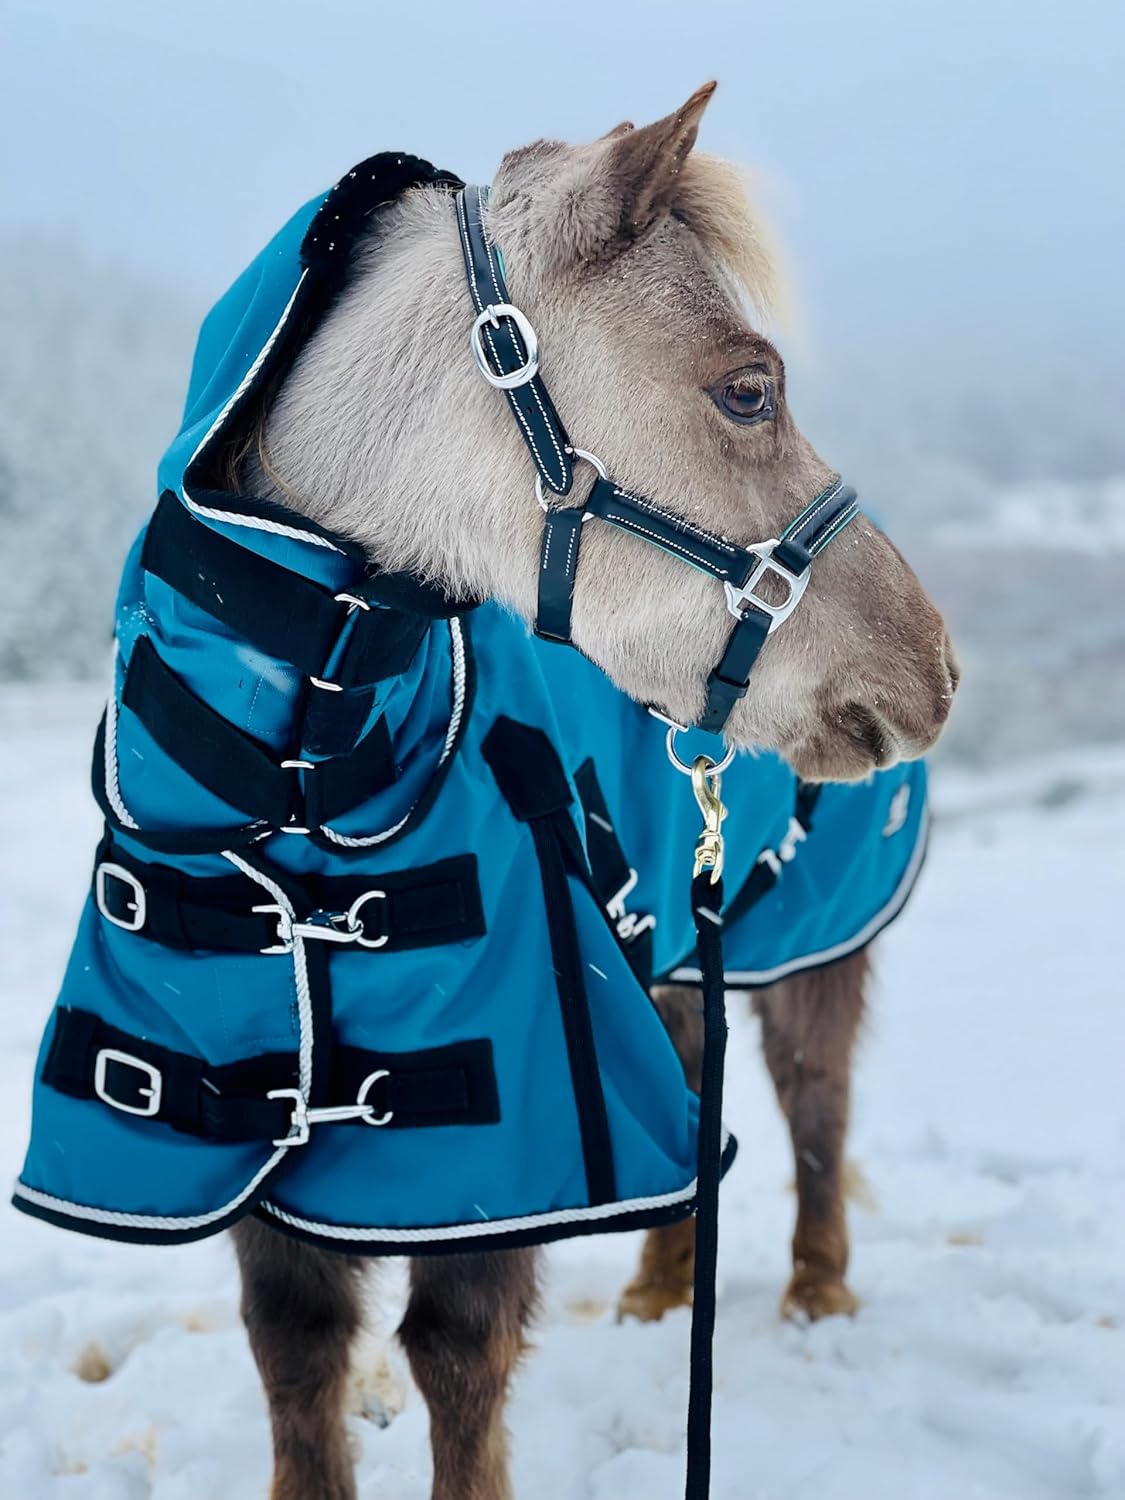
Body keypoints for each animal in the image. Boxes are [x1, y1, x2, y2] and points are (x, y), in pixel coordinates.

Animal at [15, 83, 956, 1500]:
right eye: (748, 390)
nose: (934, 667)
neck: (307, 785)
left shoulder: (513, 1136)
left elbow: (455, 1354)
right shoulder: (247, 1135)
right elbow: (297, 1351)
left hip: (804, 940)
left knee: (813, 1100)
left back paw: (815, 1298)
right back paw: (661, 1297)